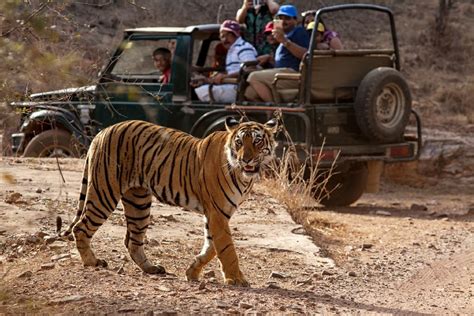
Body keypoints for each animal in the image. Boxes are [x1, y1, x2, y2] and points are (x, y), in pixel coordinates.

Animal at [58, 116, 278, 286]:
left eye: (257, 142)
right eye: (239, 143)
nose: (246, 160)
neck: (244, 176)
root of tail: (102, 131)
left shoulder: (216, 213)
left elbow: (211, 247)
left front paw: (192, 271)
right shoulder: (217, 212)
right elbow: (226, 248)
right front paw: (236, 279)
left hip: (139, 202)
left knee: (132, 241)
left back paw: (151, 268)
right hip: (104, 193)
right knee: (81, 227)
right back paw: (91, 262)